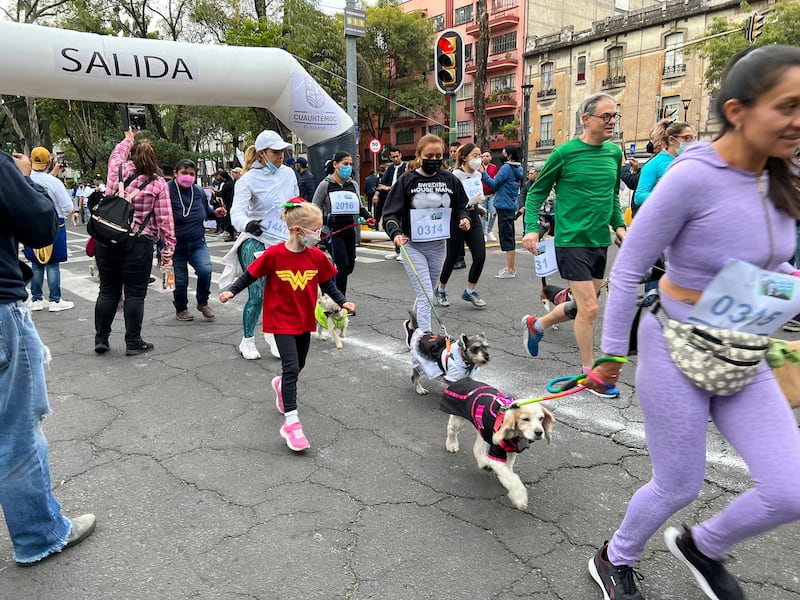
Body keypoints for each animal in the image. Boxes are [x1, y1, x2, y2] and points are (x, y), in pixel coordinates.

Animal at [440, 378, 552, 508]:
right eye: (525, 419)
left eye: (541, 418)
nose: (539, 432)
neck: (516, 435)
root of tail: (465, 379)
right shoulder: (496, 454)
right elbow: (511, 477)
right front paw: (519, 497)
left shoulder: (511, 450)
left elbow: (508, 471)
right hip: (459, 421)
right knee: (451, 429)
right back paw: (451, 444)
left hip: (483, 428)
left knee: (478, 446)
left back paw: (483, 463)